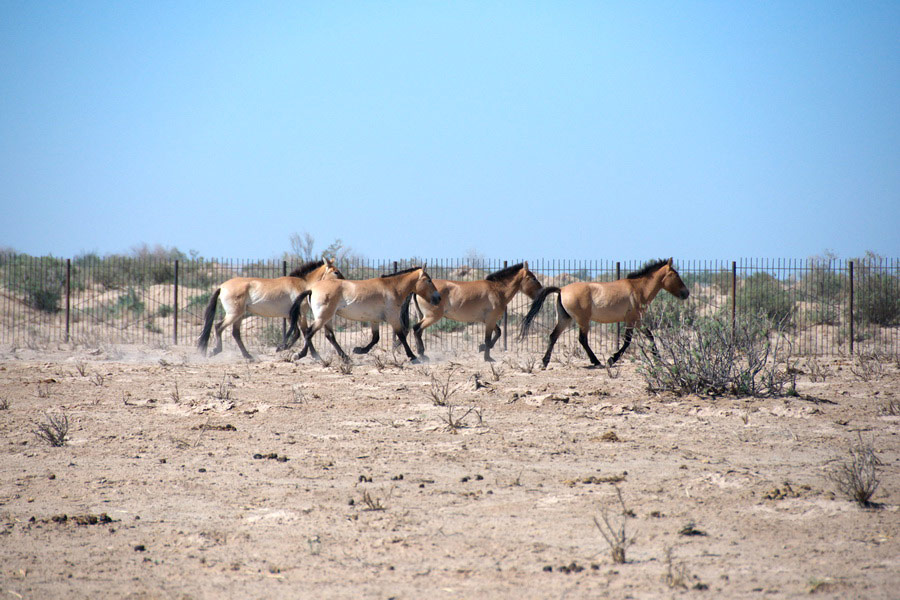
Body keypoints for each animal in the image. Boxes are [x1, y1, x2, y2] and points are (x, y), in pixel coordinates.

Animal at [199, 258, 342, 360]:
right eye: (336, 271)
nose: (343, 282)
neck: (303, 285)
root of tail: (222, 286)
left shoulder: (290, 316)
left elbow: (296, 333)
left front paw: (282, 347)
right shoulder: (301, 314)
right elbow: (304, 332)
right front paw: (314, 356)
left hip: (239, 315)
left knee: (235, 333)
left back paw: (248, 356)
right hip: (234, 314)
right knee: (218, 327)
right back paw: (215, 351)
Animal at [286, 266, 442, 360]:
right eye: (429, 280)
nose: (438, 298)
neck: (392, 287)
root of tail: (312, 289)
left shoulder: (375, 320)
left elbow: (375, 338)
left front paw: (359, 350)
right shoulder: (393, 318)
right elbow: (401, 336)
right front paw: (413, 356)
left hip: (327, 318)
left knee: (328, 336)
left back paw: (345, 357)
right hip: (323, 317)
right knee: (309, 332)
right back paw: (305, 355)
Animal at [414, 262, 544, 360]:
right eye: (533, 278)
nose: (542, 291)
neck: (497, 290)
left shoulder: (489, 320)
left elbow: (498, 333)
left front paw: (483, 349)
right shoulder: (490, 320)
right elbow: (488, 339)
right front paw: (487, 357)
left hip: (424, 316)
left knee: (418, 331)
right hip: (432, 317)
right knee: (417, 329)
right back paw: (422, 354)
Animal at [520, 258, 688, 368]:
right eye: (676, 275)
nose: (686, 293)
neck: (638, 288)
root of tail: (561, 289)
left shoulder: (638, 321)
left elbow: (650, 336)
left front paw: (659, 359)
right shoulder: (631, 320)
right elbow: (627, 341)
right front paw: (611, 359)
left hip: (565, 319)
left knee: (553, 336)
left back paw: (544, 362)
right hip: (583, 320)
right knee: (582, 339)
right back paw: (596, 361)